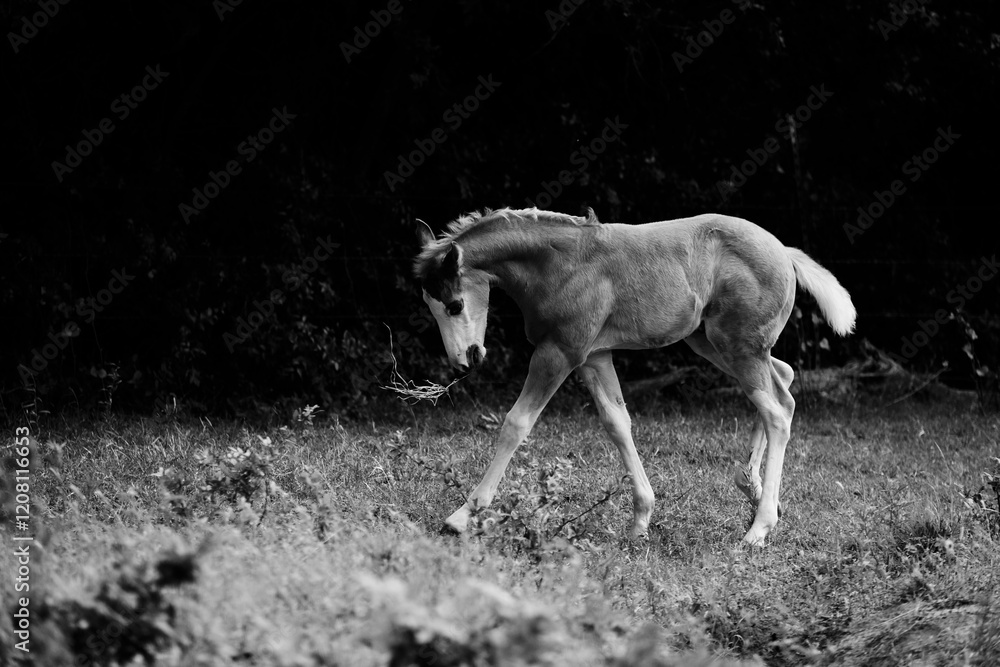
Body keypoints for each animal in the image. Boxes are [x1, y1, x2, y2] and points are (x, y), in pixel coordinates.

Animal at [413, 207, 855, 546]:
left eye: (454, 305)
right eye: (430, 307)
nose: (465, 361)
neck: (559, 264)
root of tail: (784, 250)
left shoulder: (560, 351)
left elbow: (516, 423)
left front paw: (462, 516)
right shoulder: (594, 356)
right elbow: (617, 423)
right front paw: (640, 520)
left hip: (738, 346)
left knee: (777, 410)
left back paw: (758, 529)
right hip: (711, 342)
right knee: (784, 381)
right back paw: (753, 489)